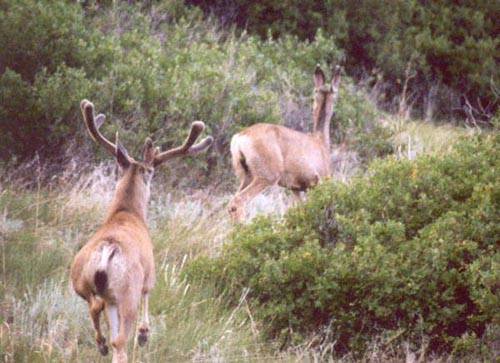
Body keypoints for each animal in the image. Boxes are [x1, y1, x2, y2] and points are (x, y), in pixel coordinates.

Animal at [70, 100, 211, 363]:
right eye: (152, 172)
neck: (127, 213)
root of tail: (107, 250)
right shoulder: (150, 273)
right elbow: (149, 294)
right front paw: (145, 334)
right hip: (128, 293)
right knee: (120, 339)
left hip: (80, 281)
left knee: (97, 312)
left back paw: (101, 343)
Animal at [229, 64, 342, 222]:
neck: (320, 141)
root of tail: (240, 137)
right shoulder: (320, 182)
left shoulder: (295, 188)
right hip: (266, 175)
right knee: (238, 201)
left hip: (245, 175)